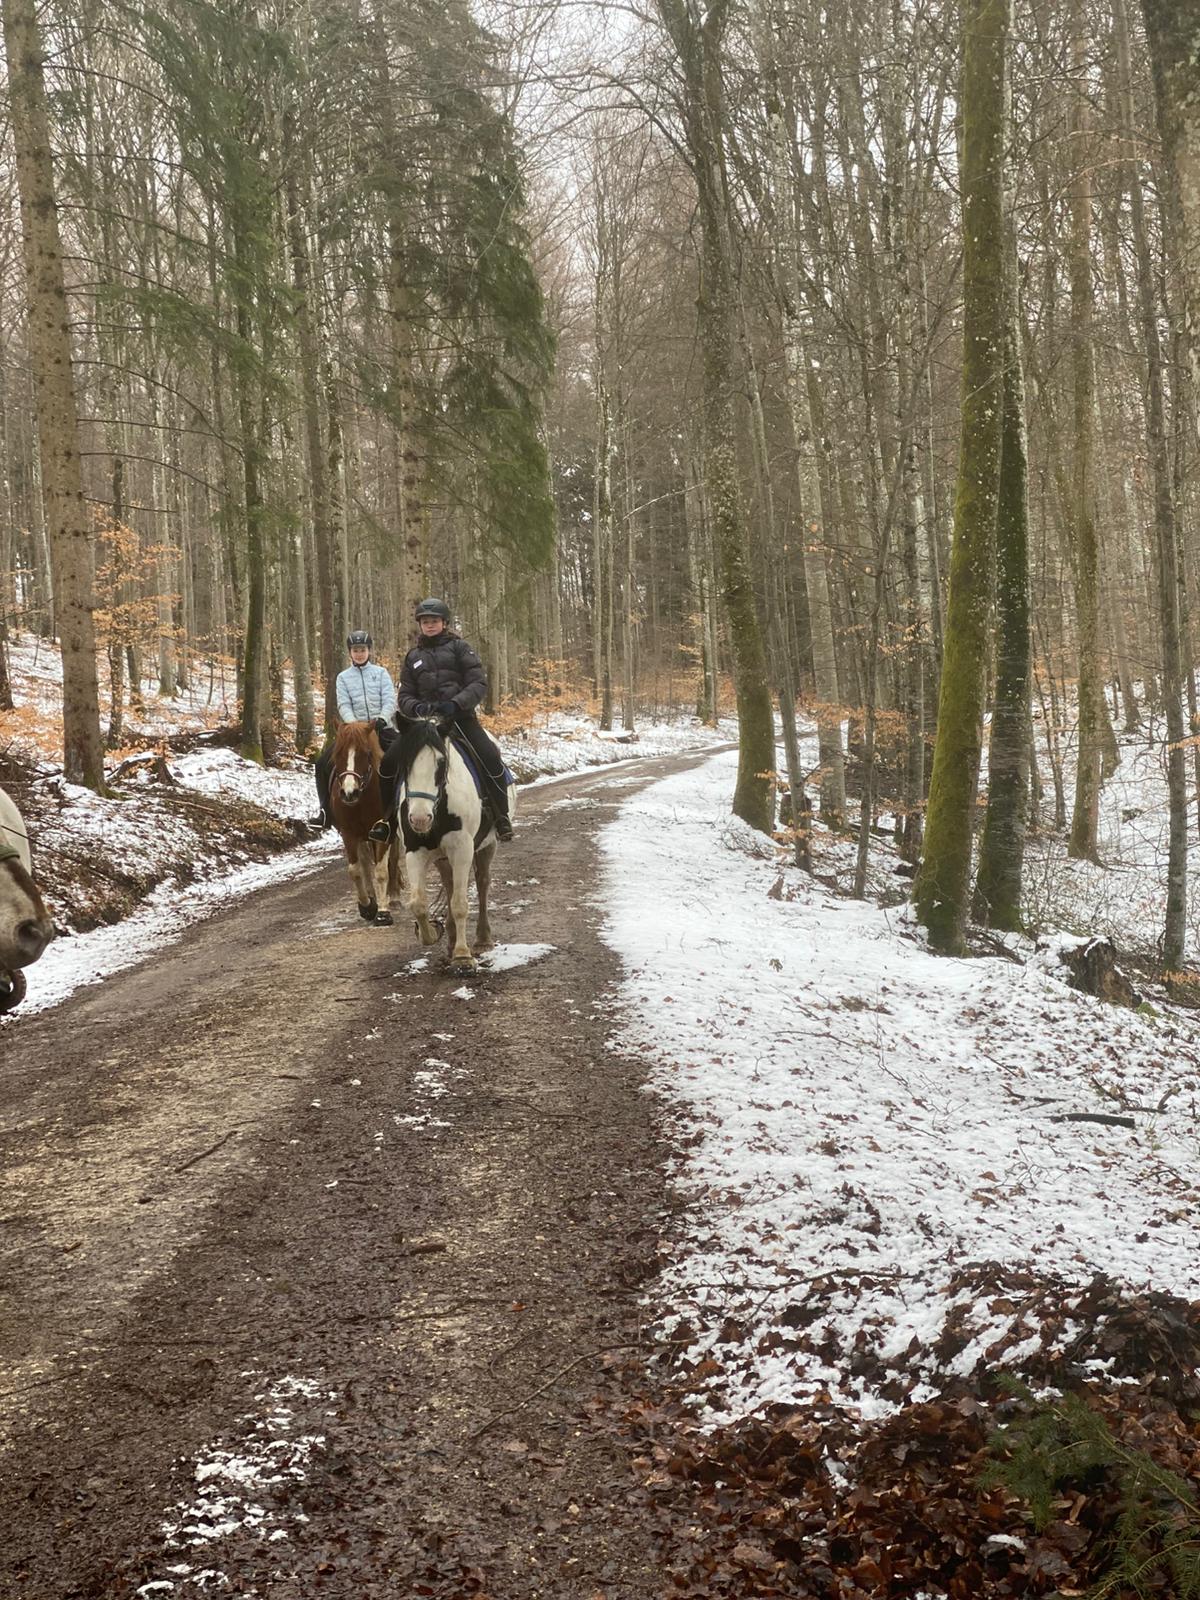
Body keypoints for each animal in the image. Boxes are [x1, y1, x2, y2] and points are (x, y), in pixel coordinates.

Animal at [329, 721, 405, 926]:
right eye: (338, 753)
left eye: (366, 754)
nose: (349, 793)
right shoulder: (348, 833)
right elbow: (355, 870)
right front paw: (367, 906)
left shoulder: (383, 832)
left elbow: (381, 871)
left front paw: (384, 913)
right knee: (364, 862)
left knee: (393, 859)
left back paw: (394, 897)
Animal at [396, 716, 515, 973]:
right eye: (405, 762)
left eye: (441, 763)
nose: (419, 819)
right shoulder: (415, 852)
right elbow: (418, 903)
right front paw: (432, 933)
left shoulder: (462, 849)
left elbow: (460, 903)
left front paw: (462, 957)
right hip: (442, 858)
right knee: (449, 884)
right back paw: (450, 942)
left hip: (487, 846)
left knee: (482, 883)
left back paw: (482, 940)